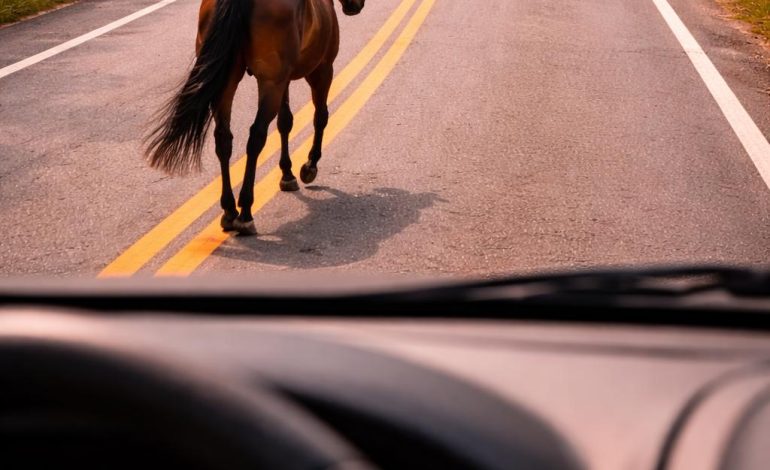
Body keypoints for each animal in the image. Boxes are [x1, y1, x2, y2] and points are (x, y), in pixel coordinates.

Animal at [145, 0, 365, 235]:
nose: (356, 5)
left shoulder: (285, 80)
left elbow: (285, 122)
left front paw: (287, 174)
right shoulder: (321, 70)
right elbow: (320, 117)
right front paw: (309, 166)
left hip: (230, 83)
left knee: (223, 139)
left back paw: (230, 211)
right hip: (271, 83)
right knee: (256, 137)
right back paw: (245, 212)